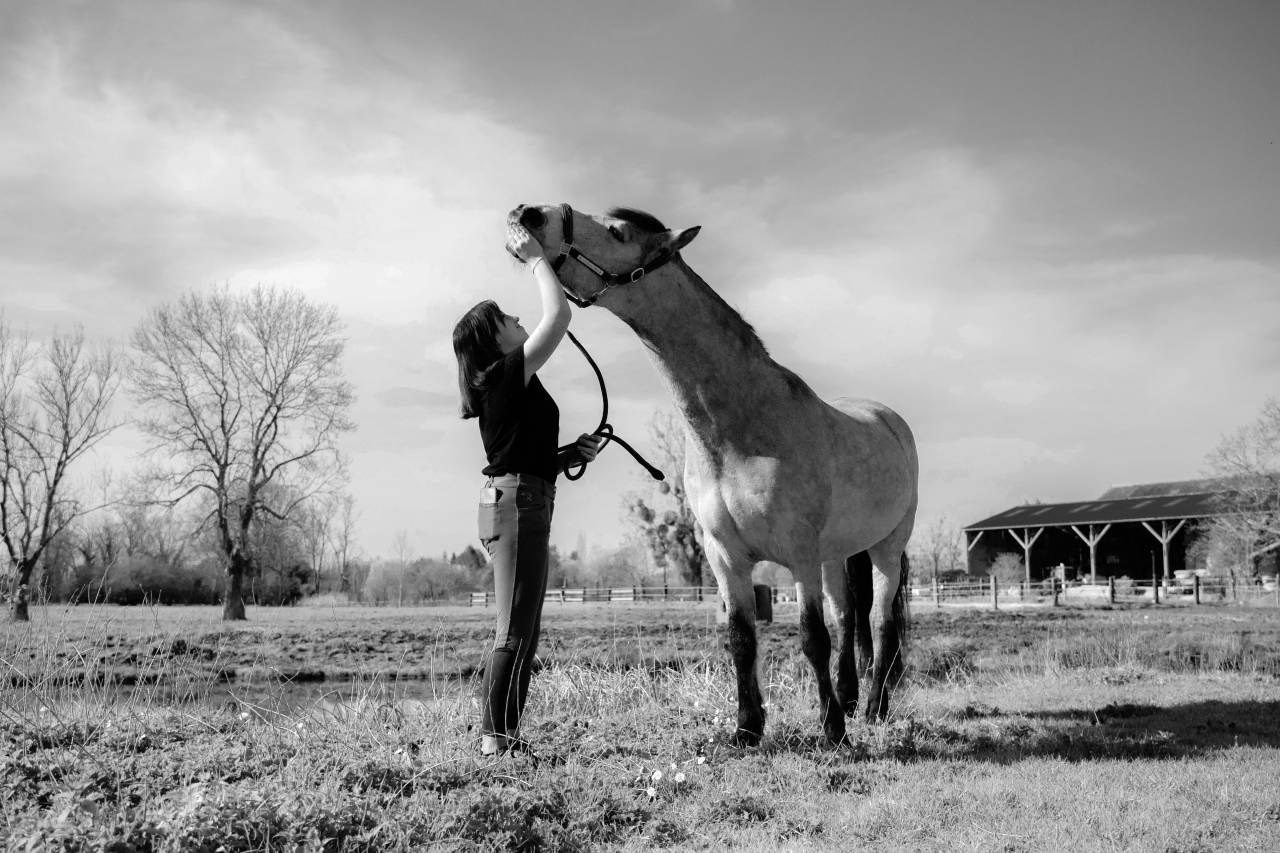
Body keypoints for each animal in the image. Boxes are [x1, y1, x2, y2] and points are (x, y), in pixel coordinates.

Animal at [510, 203, 918, 746]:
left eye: (617, 232)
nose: (528, 214)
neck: (740, 429)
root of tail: (889, 418)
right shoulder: (725, 556)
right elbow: (741, 638)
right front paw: (747, 729)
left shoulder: (799, 555)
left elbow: (812, 638)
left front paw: (832, 731)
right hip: (837, 554)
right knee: (848, 616)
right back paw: (851, 699)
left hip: (887, 548)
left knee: (881, 621)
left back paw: (872, 708)